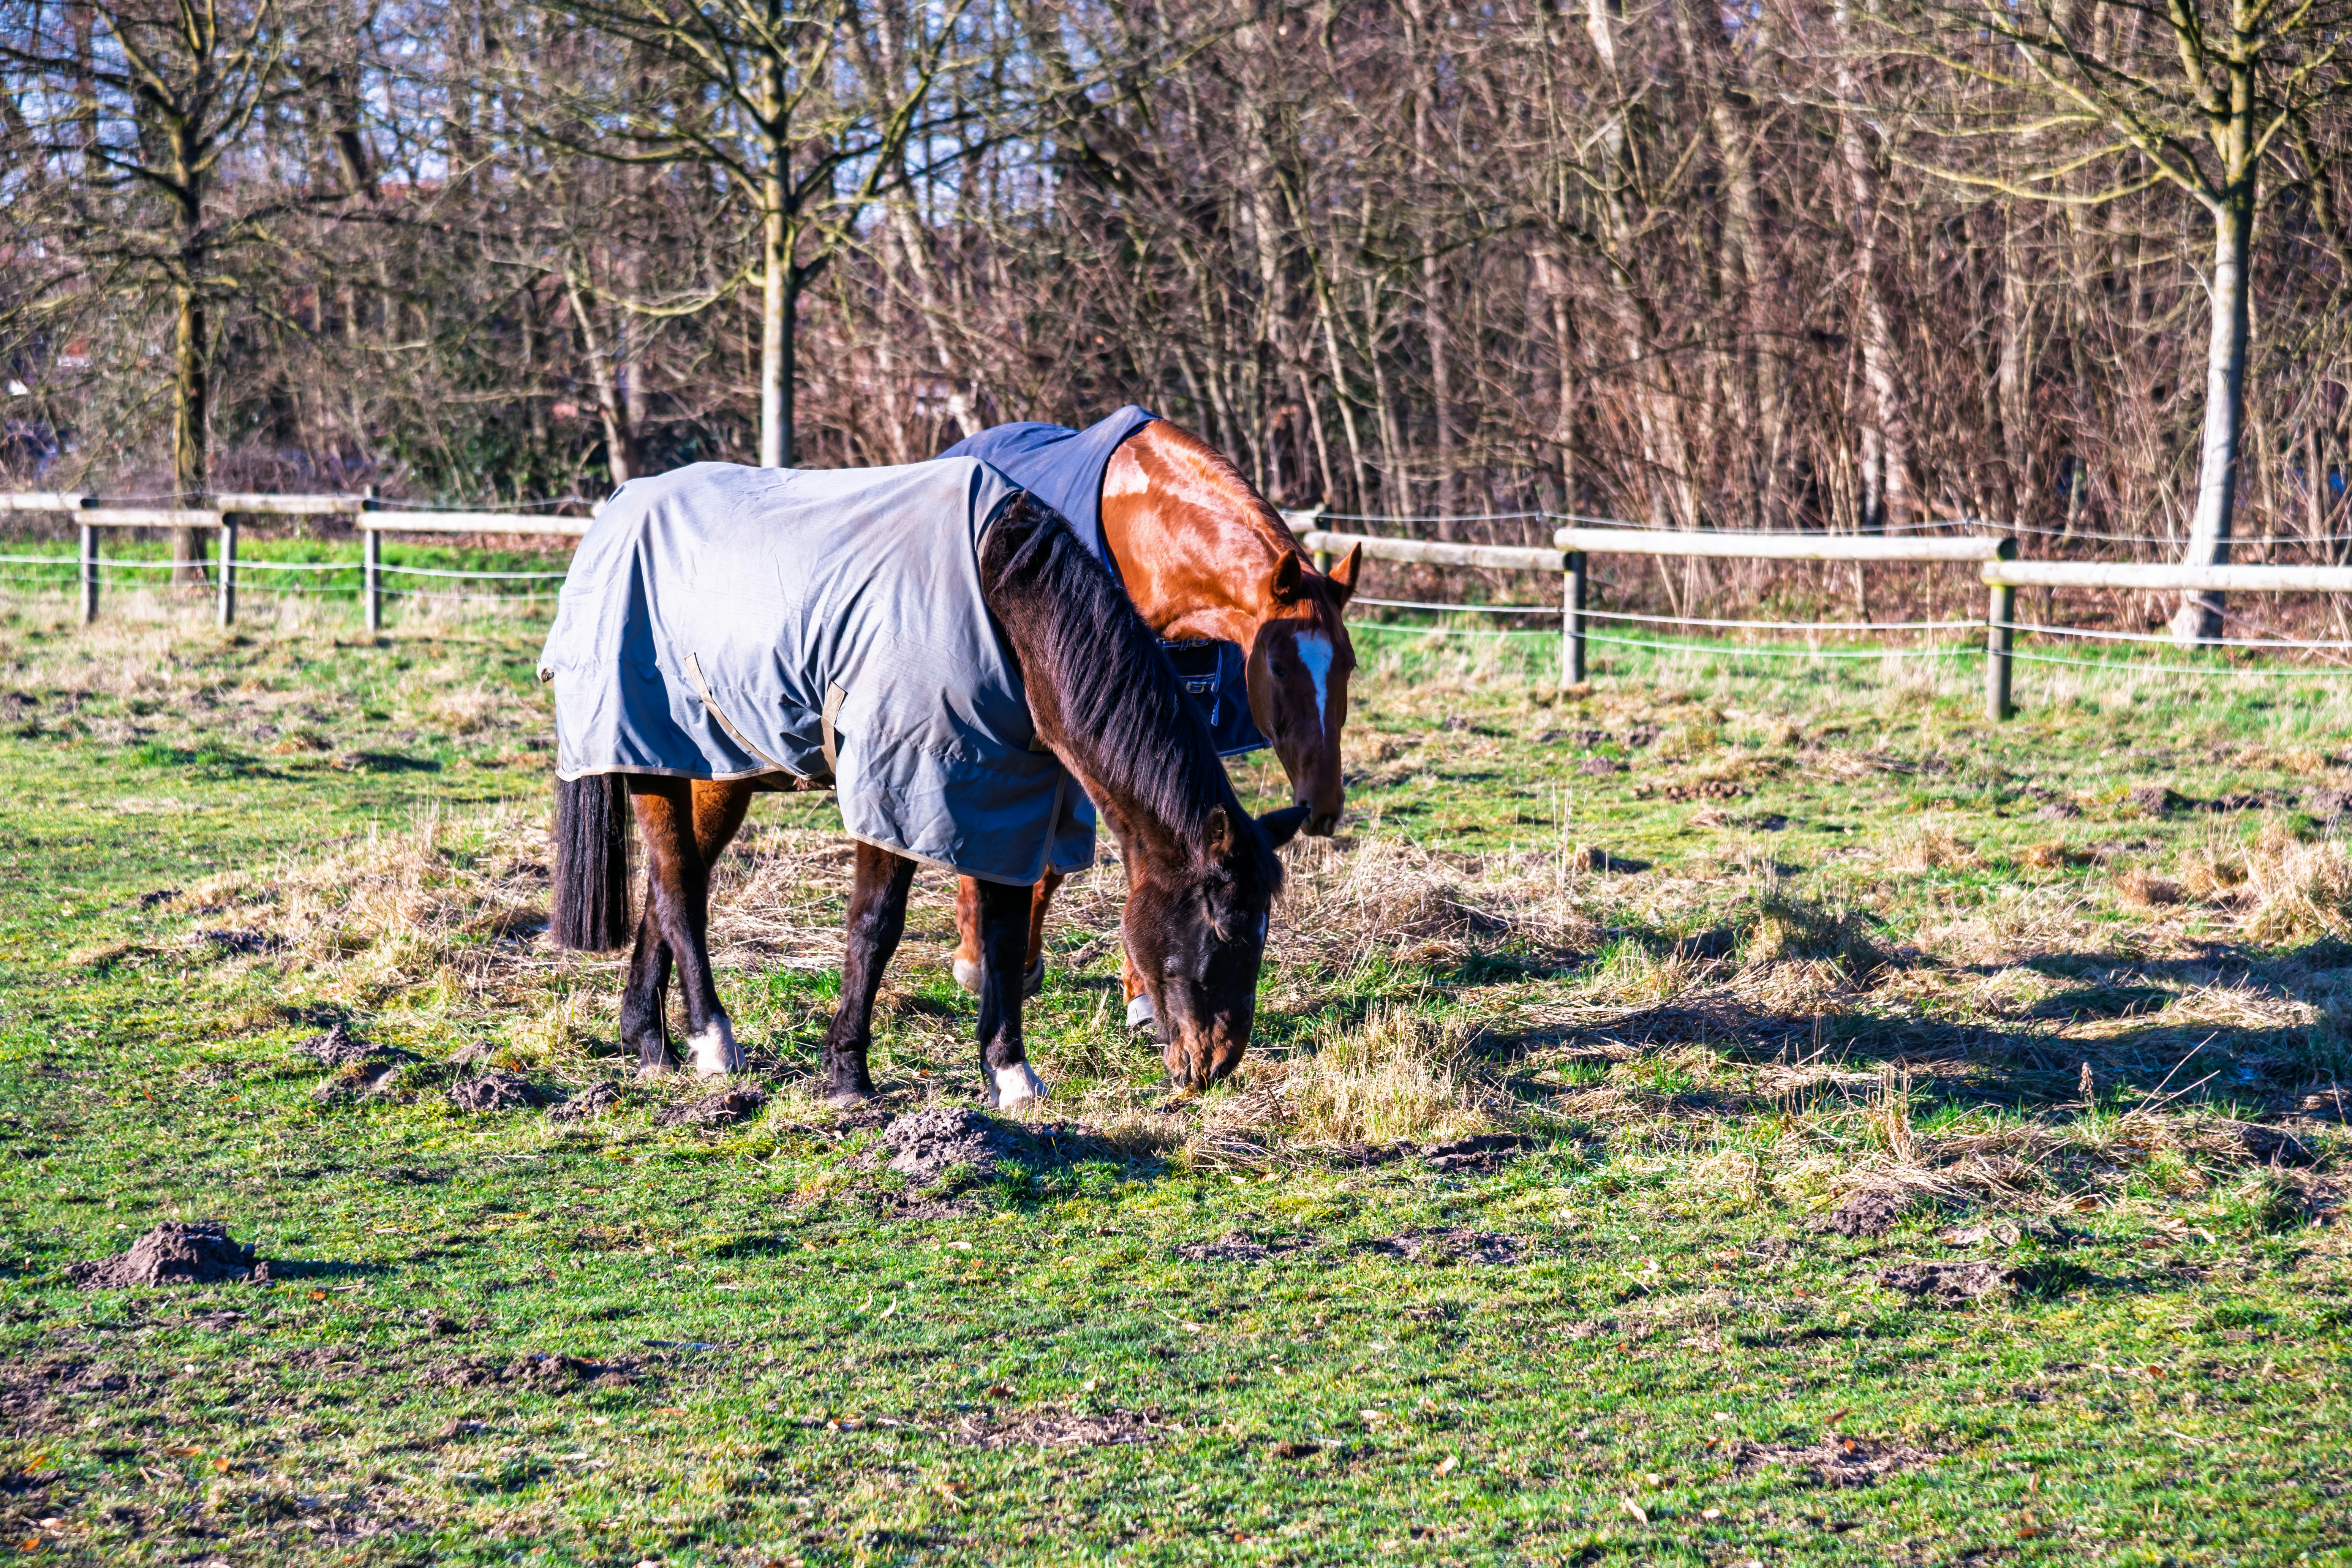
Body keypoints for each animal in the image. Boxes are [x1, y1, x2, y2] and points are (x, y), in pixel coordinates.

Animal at [545, 460, 1309, 1107]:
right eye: (1222, 926)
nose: (1213, 1065)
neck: (1004, 605)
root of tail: (616, 510)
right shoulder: (895, 786)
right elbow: (875, 928)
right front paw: (849, 1076)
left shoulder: (1008, 799)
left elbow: (1005, 936)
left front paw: (1011, 1076)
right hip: (651, 758)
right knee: (679, 891)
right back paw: (710, 1041)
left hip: (713, 771)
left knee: (669, 885)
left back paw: (649, 1043)